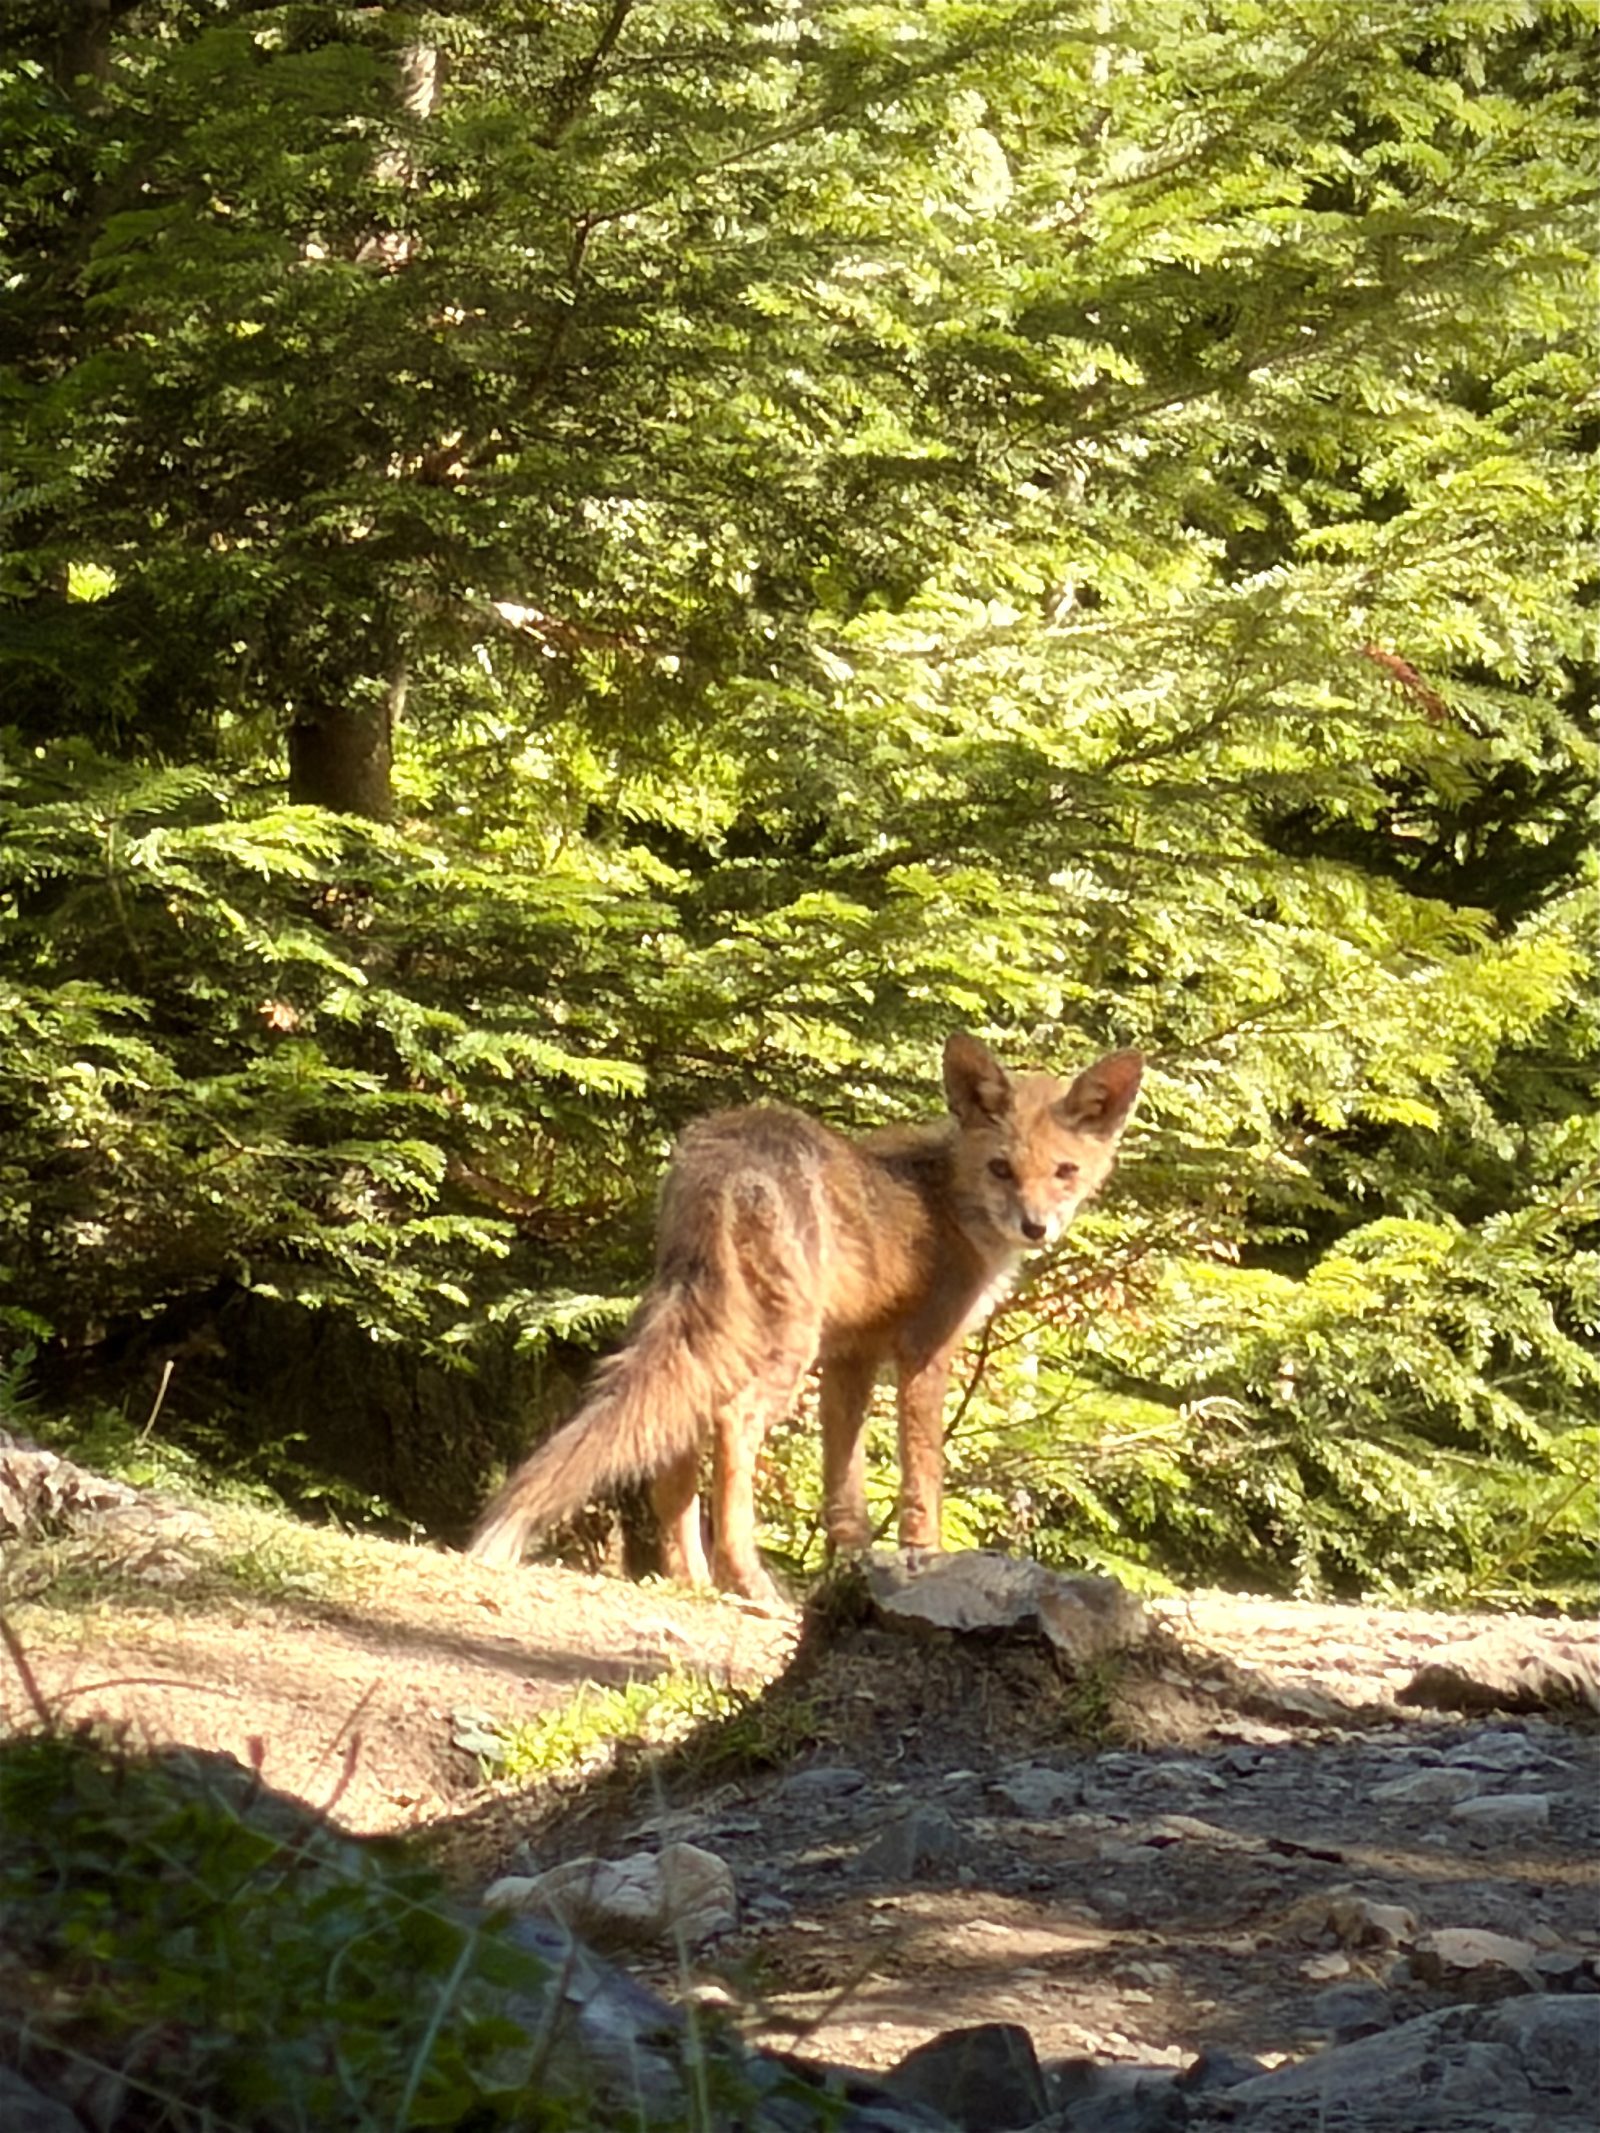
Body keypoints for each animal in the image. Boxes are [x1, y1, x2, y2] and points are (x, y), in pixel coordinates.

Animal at [469, 1033, 1143, 1601]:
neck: (948, 1200)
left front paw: (850, 1570)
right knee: (731, 1424)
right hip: (785, 1346)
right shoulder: (923, 1350)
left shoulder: (851, 1358)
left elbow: (844, 1490)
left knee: (673, 1451)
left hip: (713, 1332)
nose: (1035, 1227)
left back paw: (694, 1582)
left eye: (1064, 1172)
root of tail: (726, 1150)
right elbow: (922, 1480)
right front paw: (924, 1560)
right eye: (1001, 1168)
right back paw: (747, 1579)